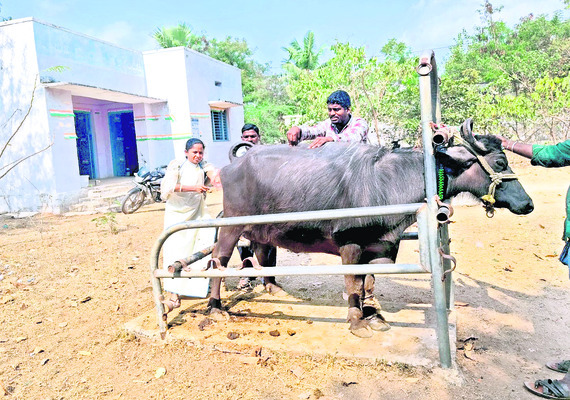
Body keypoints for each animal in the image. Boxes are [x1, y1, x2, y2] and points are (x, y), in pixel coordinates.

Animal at [205, 122, 532, 338]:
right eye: (500, 161)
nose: (527, 204)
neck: (389, 180)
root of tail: (234, 163)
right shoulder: (349, 245)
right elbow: (353, 282)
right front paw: (356, 320)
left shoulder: (382, 244)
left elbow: (370, 281)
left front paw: (373, 315)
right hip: (231, 225)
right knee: (218, 260)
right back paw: (216, 306)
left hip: (262, 227)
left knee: (262, 250)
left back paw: (273, 287)